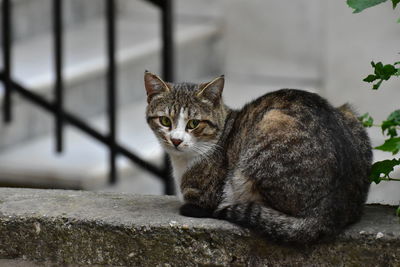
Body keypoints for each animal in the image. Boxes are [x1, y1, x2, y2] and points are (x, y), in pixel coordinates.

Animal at [144, 70, 372, 245]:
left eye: (193, 123)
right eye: (165, 121)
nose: (176, 140)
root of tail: (329, 212)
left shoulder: (203, 195)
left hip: (267, 131)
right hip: (349, 113)